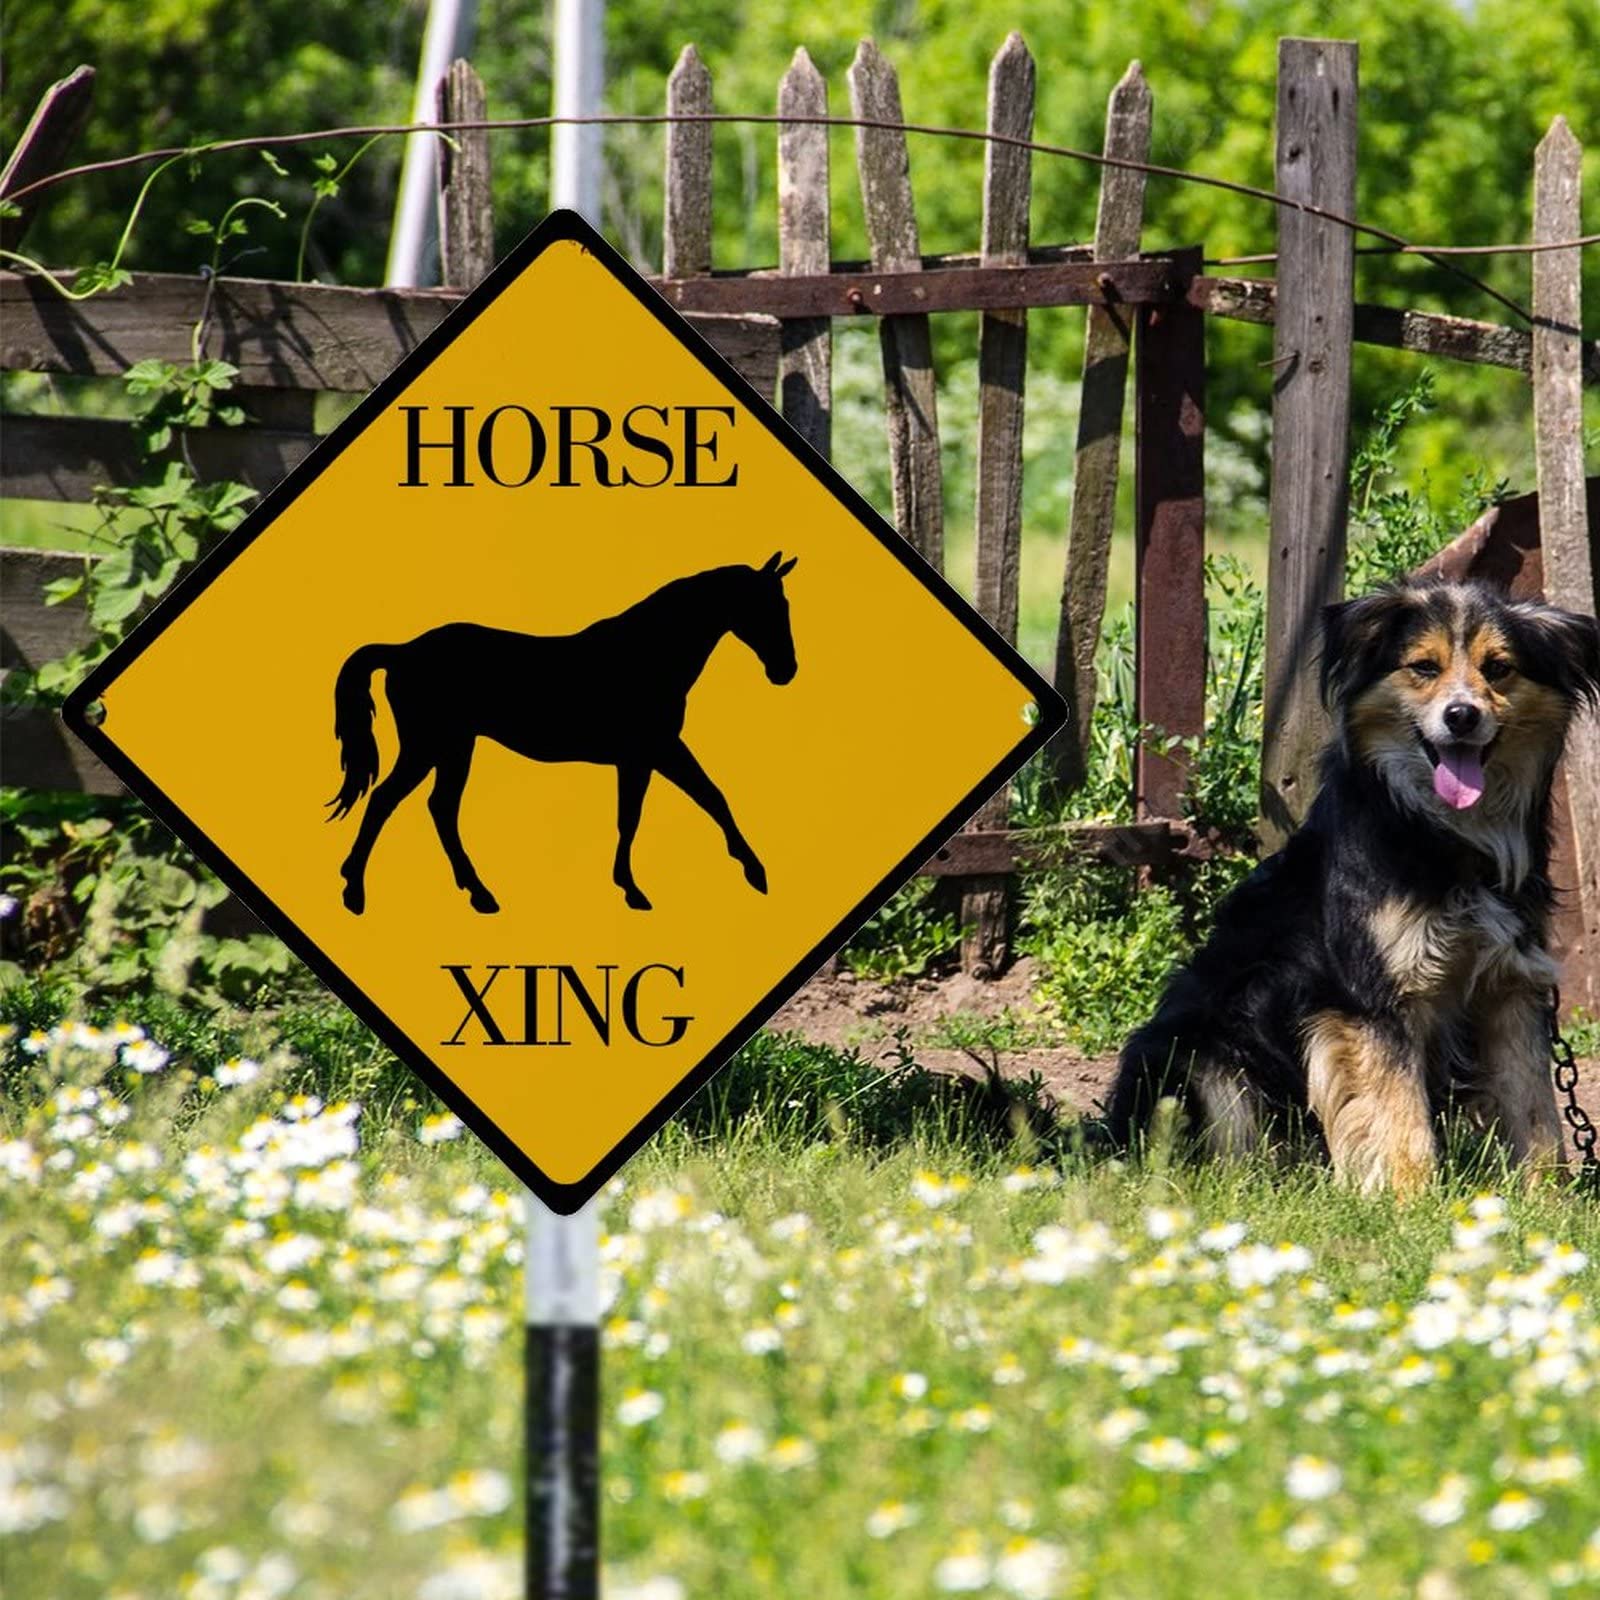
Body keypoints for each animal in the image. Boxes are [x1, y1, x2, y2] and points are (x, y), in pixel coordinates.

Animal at [327, 553, 798, 915]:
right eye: (766, 607)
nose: (786, 671)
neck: (647, 653)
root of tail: (403, 651)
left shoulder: (647, 756)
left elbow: (695, 800)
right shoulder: (653, 752)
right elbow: (671, 807)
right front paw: (747, 873)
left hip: (454, 748)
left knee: (439, 808)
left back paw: (478, 894)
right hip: (429, 748)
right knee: (387, 801)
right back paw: (355, 892)